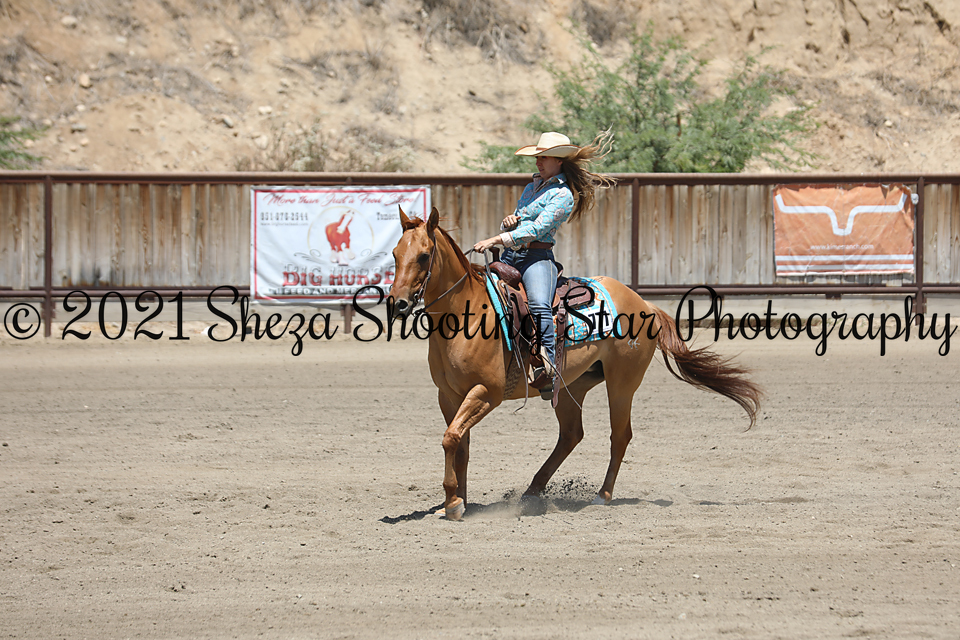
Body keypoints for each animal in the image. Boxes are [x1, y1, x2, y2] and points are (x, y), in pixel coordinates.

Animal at [389, 206, 762, 520]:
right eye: (394, 254)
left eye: (424, 255)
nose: (398, 304)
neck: (465, 311)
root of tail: (645, 304)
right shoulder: (449, 395)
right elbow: (459, 443)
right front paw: (457, 500)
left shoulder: (488, 392)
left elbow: (451, 438)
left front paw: (453, 502)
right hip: (571, 387)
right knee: (571, 435)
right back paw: (533, 491)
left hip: (623, 383)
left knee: (619, 435)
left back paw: (602, 495)